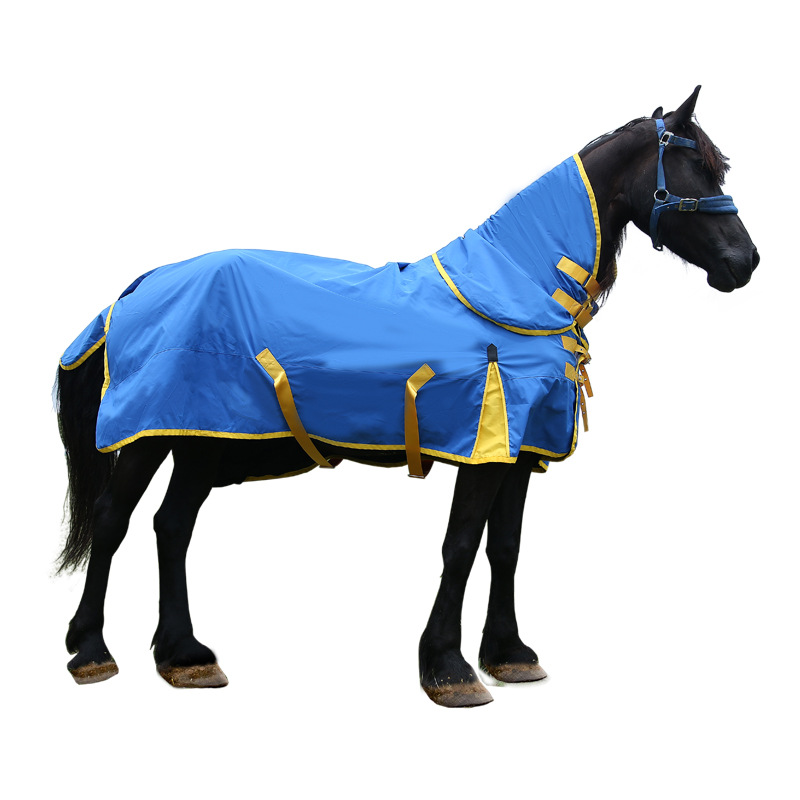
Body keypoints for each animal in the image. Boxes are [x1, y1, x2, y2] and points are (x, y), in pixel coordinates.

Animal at [55, 86, 758, 707]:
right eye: (694, 167)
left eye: (718, 165)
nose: (746, 263)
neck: (515, 291)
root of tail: (140, 285)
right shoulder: (483, 446)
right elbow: (461, 545)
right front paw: (448, 668)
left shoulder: (522, 449)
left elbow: (505, 547)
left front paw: (509, 653)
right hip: (152, 434)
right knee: (115, 521)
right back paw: (91, 650)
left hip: (204, 437)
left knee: (172, 526)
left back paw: (183, 655)